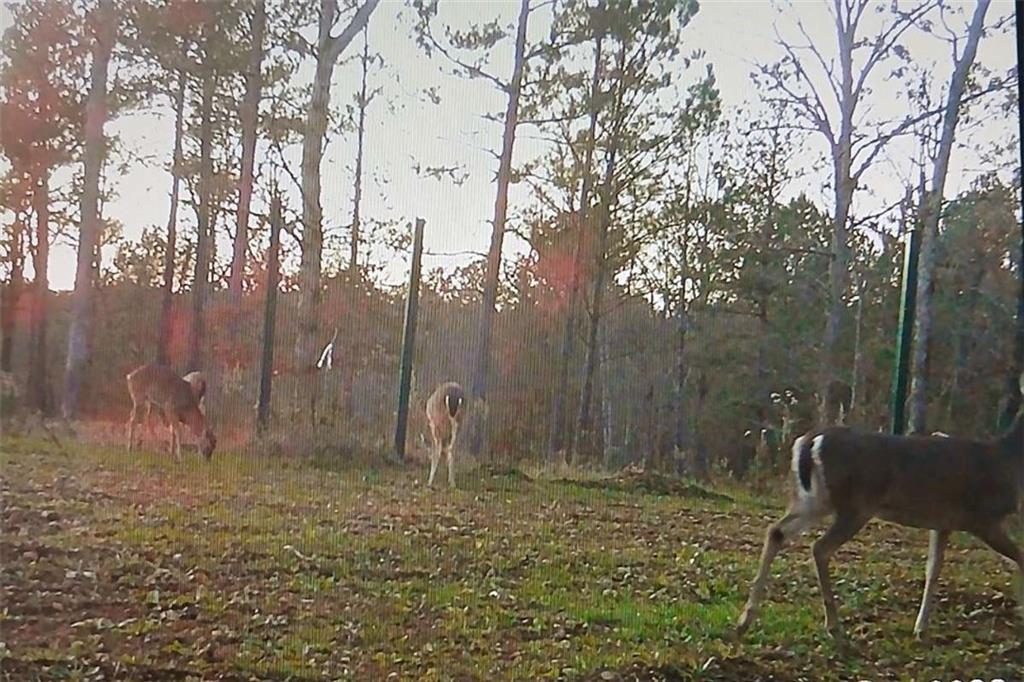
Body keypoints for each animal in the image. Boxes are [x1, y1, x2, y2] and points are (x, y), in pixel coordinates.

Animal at [737, 372, 1024, 638]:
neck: (1009, 459)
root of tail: (809, 443)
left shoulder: (943, 522)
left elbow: (933, 569)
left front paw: (921, 628)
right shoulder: (983, 518)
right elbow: (1021, 558)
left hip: (814, 500)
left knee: (776, 532)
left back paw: (745, 619)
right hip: (856, 505)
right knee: (820, 548)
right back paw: (833, 625)